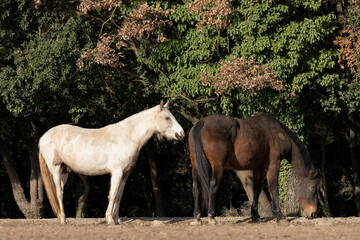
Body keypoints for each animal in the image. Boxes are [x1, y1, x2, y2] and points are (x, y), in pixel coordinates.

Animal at [39, 100, 184, 224]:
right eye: (167, 118)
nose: (181, 133)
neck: (127, 136)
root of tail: (43, 137)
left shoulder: (125, 174)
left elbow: (119, 195)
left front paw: (116, 219)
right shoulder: (117, 172)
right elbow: (113, 194)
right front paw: (109, 219)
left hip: (64, 172)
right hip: (56, 171)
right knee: (59, 193)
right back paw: (63, 220)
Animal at [188, 113, 318, 224]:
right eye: (313, 188)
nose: (312, 213)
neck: (278, 133)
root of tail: (202, 122)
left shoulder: (258, 168)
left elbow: (256, 189)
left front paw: (255, 216)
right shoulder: (274, 164)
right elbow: (273, 187)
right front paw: (279, 216)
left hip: (195, 166)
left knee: (196, 187)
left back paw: (197, 217)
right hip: (217, 165)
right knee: (213, 184)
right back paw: (211, 217)